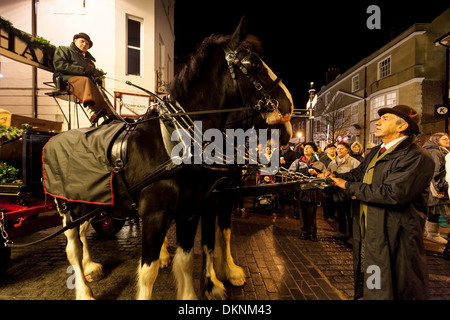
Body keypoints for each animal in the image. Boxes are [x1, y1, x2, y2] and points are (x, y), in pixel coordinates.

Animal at [45, 18, 294, 300]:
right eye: (253, 63)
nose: (289, 109)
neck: (175, 142)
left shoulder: (195, 207)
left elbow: (196, 252)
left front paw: (219, 277)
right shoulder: (160, 213)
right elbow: (151, 270)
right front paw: (213, 282)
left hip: (91, 202)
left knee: (83, 232)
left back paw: (90, 267)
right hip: (68, 206)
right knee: (72, 247)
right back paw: (85, 289)